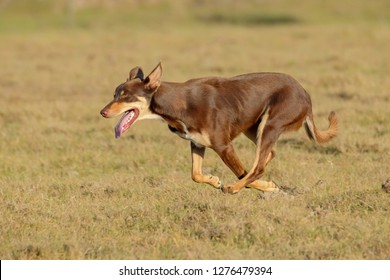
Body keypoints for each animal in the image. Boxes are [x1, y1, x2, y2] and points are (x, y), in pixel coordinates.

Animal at [100, 63, 338, 195]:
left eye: (125, 96)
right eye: (114, 94)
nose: (102, 112)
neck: (176, 102)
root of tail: (305, 94)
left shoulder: (224, 146)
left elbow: (242, 172)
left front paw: (257, 186)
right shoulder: (197, 143)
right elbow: (196, 174)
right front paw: (214, 180)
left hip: (270, 124)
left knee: (258, 167)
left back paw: (235, 188)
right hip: (255, 127)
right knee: (268, 155)